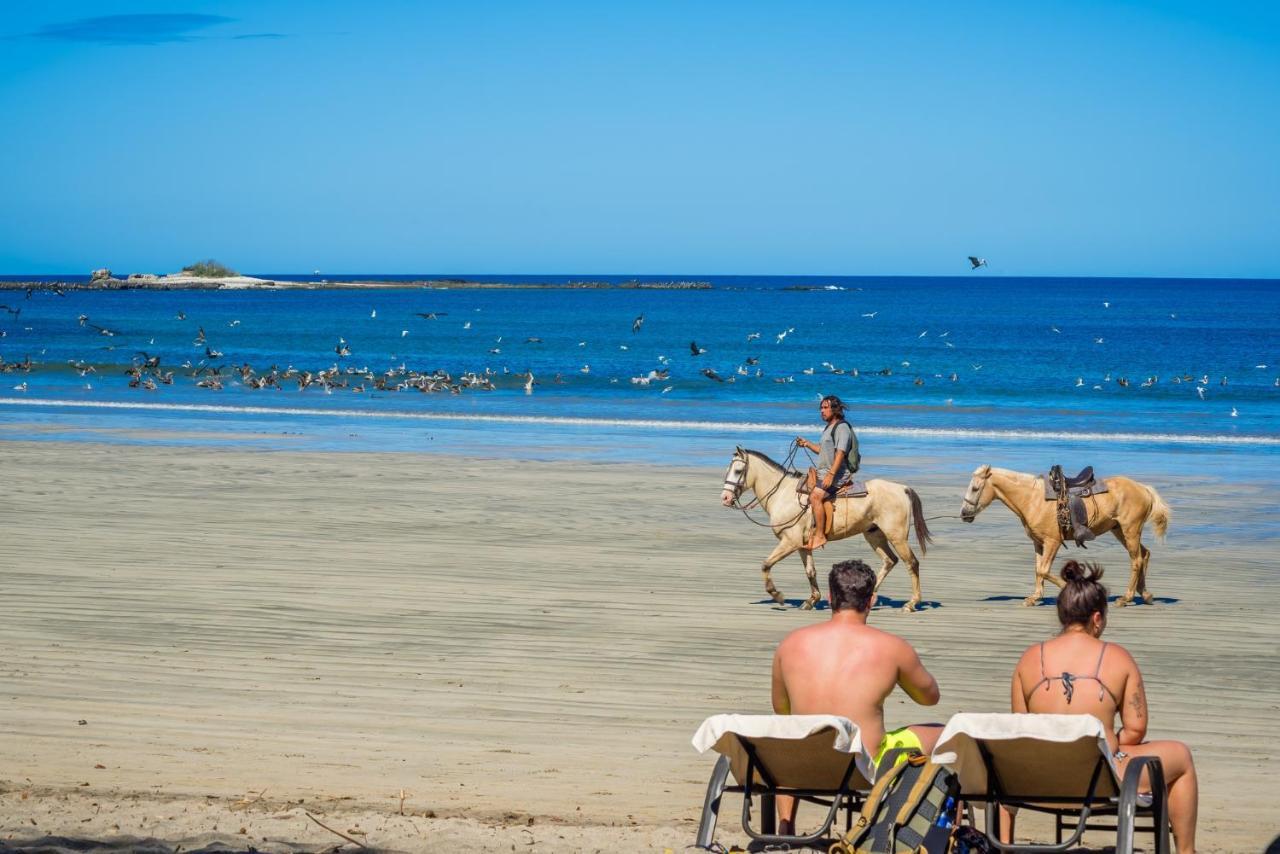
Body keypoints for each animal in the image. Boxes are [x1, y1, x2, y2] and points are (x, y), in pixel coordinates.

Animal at [721, 450, 931, 612]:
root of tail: (902, 488)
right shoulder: (802, 546)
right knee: (890, 561)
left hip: (897, 537)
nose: (725, 497)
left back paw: (911, 603)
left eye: (738, 471)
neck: (782, 494)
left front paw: (777, 595)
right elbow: (810, 571)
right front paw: (811, 600)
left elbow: (766, 565)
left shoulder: (790, 542)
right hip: (874, 535)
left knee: (912, 563)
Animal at [962, 468, 1172, 606]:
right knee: (1144, 554)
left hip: (1130, 530)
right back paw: (1145, 594)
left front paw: (1069, 588)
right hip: (1120, 530)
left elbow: (1044, 570)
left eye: (975, 488)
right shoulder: (1038, 543)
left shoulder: (1052, 541)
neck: (1032, 498)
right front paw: (1035, 597)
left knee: (1136, 560)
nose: (964, 513)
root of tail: (1144, 489)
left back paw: (1126, 598)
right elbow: (1038, 569)